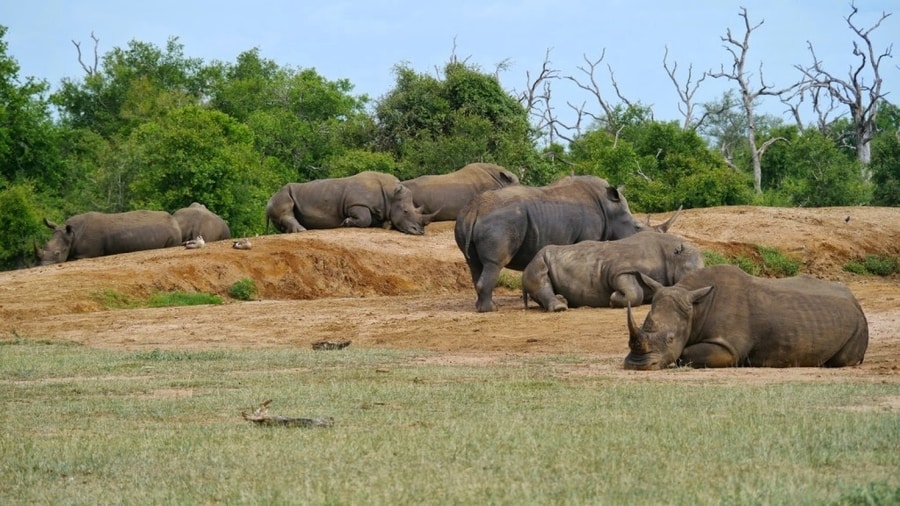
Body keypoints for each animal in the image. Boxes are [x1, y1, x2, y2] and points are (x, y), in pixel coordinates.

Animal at [33, 210, 185, 264]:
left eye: (58, 253)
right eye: (45, 245)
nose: (44, 264)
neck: (72, 234)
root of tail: (174, 220)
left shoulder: (85, 254)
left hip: (174, 235)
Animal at [266, 170, 438, 233]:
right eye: (406, 211)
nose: (420, 232)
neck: (390, 194)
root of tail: (268, 202)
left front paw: (387, 225)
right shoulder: (356, 204)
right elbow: (364, 218)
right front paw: (346, 222)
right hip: (281, 194)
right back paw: (302, 230)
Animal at [454, 175, 680, 312]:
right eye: (637, 227)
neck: (610, 209)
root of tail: (474, 209)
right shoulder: (588, 236)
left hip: (465, 221)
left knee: (474, 263)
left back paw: (484, 306)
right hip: (501, 221)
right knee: (494, 263)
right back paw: (490, 309)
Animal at [520, 231, 704, 310]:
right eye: (689, 271)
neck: (671, 257)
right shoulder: (618, 271)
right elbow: (634, 292)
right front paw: (614, 299)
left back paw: (564, 301)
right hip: (538, 259)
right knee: (540, 277)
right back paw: (560, 307)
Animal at [624, 264, 868, 368]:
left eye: (671, 339)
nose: (637, 365)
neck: (695, 309)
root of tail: (856, 302)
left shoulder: (728, 348)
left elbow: (687, 352)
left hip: (860, 324)